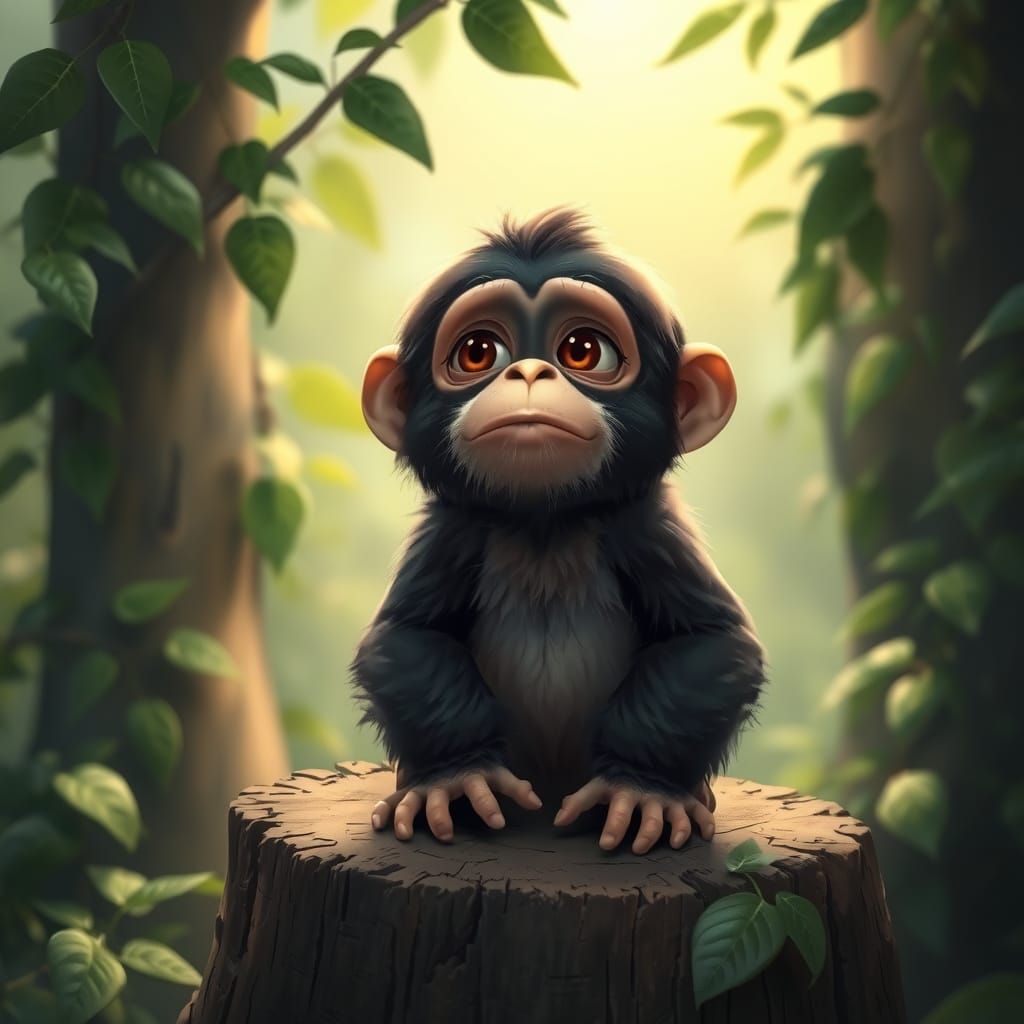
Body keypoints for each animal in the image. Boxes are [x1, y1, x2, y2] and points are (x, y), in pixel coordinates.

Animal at [352, 208, 765, 855]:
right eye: (478, 353)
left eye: (583, 351)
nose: (529, 370)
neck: (544, 522)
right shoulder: (452, 530)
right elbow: (406, 638)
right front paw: (455, 779)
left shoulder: (647, 528)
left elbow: (712, 641)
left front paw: (641, 791)